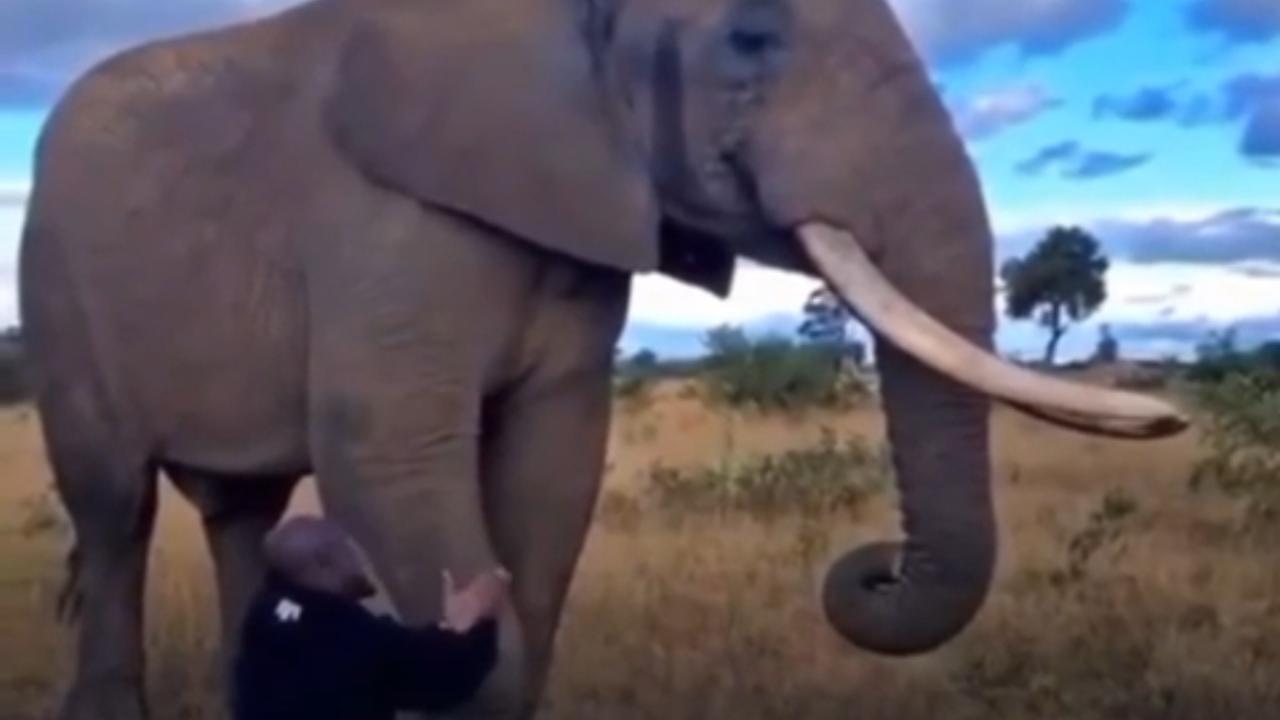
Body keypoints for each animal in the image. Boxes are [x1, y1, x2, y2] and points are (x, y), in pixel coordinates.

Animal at [18, 0, 1188, 717]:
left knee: (241, 515)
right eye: (750, 38)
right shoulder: (382, 222)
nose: (874, 567)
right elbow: (385, 452)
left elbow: (554, 464)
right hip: (57, 287)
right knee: (114, 509)